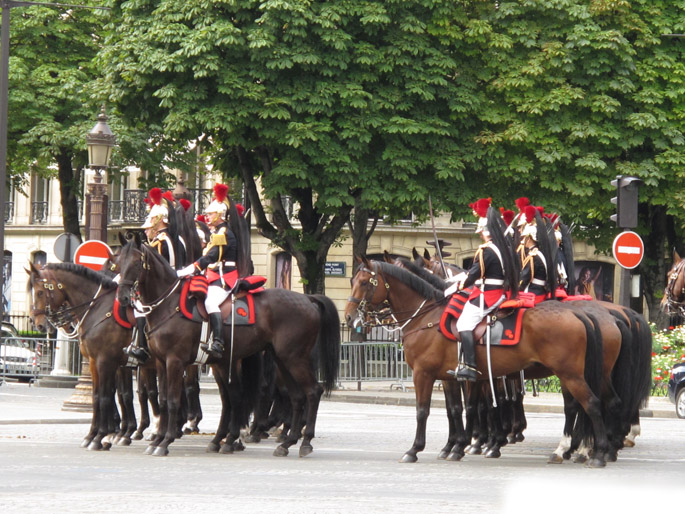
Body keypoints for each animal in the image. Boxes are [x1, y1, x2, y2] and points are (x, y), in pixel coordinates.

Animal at [117, 234, 342, 454]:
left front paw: (165, 441)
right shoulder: (161, 362)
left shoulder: (175, 361)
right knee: (294, 396)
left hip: (294, 359)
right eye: (118, 262)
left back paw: (304, 442)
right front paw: (157, 439)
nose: (123, 297)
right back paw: (285, 442)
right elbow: (163, 400)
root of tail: (308, 299)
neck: (168, 305)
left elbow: (172, 400)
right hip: (280, 360)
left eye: (136, 263)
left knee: (312, 392)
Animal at [348, 255, 608, 464]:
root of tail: (577, 313)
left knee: (592, 404)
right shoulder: (453, 377)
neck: (427, 317)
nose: (350, 317)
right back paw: (578, 450)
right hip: (569, 376)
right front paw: (455, 447)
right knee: (580, 407)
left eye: (364, 282)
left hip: (570, 375)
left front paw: (415, 449)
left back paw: (594, 453)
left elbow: (424, 410)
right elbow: (457, 409)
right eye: (352, 281)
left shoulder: (423, 374)